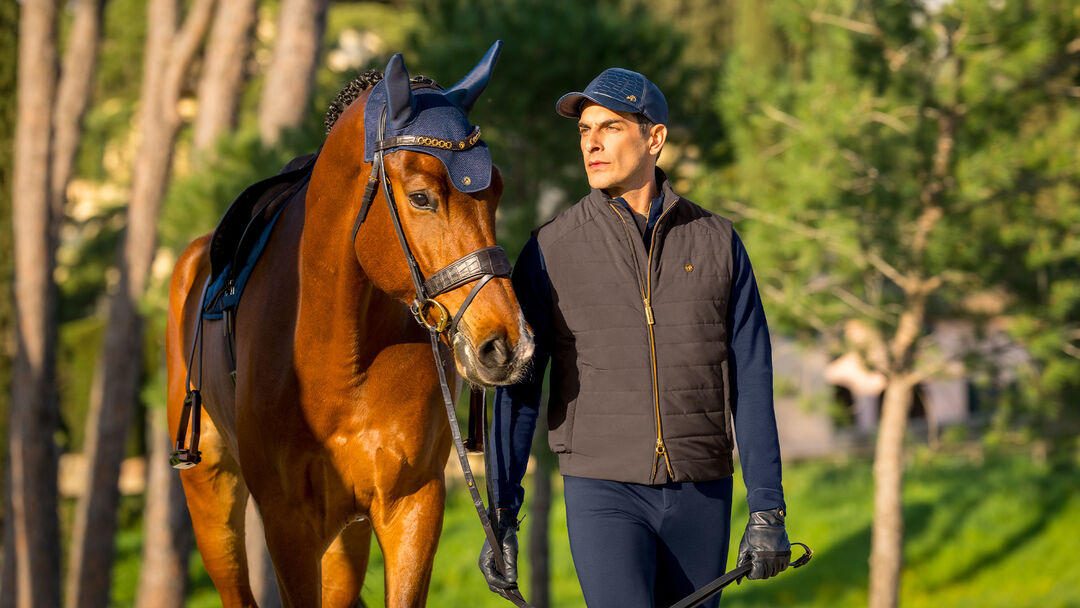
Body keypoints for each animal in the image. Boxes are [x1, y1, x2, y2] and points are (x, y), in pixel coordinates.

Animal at [165, 42, 533, 607]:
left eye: (495, 192)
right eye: (422, 196)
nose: (508, 345)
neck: (337, 350)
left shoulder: (412, 506)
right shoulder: (288, 525)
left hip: (345, 535)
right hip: (210, 492)